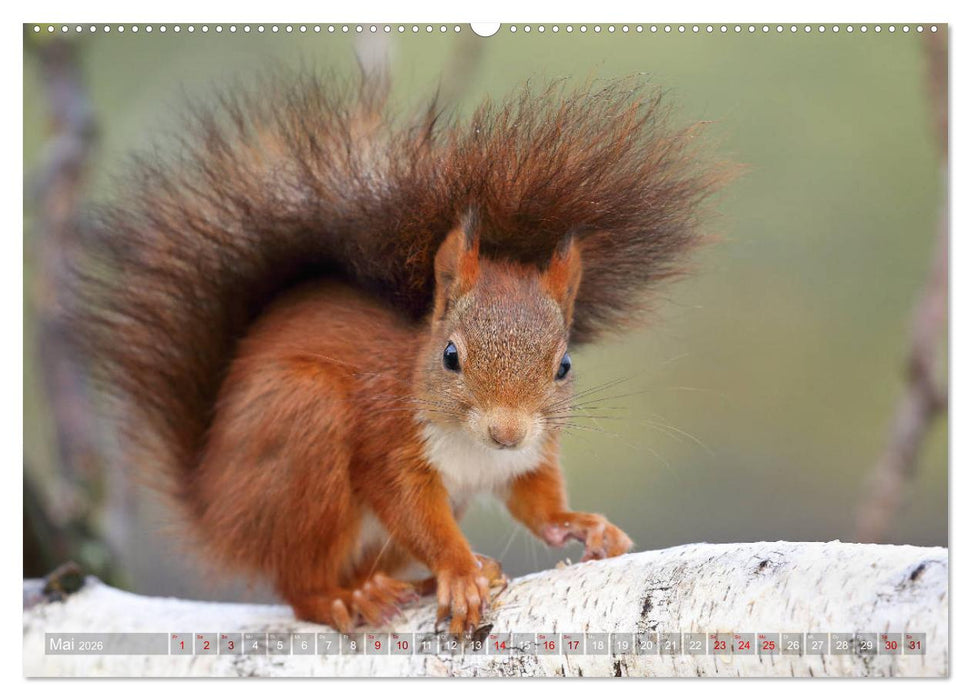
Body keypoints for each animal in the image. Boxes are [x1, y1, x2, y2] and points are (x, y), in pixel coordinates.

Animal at [69, 73, 727, 634]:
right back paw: (345, 598)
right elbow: (412, 511)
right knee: (298, 583)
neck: (472, 447)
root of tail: (215, 512)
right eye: (450, 356)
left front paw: (583, 526)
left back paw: (401, 585)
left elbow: (535, 500)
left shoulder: (529, 456)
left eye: (563, 366)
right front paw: (459, 572)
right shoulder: (388, 440)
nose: (507, 432)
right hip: (302, 432)